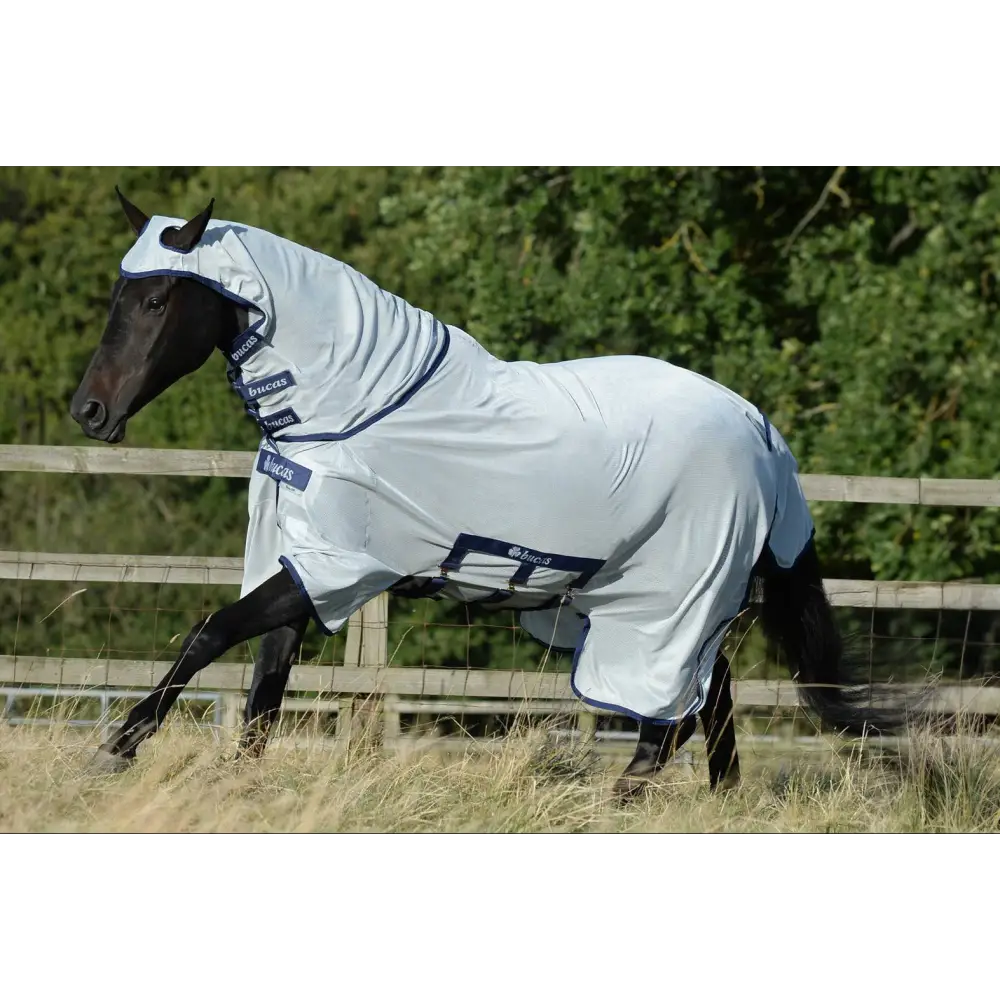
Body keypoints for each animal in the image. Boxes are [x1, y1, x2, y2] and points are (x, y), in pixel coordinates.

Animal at [68, 187, 914, 800]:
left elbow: (208, 633)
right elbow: (262, 689)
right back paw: (713, 797)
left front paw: (118, 747)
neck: (353, 409)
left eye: (156, 302)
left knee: (678, 702)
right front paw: (233, 781)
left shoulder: (343, 567)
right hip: (629, 601)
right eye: (116, 296)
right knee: (709, 692)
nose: (90, 411)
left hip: (673, 598)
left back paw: (625, 794)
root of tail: (760, 432)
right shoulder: (305, 567)